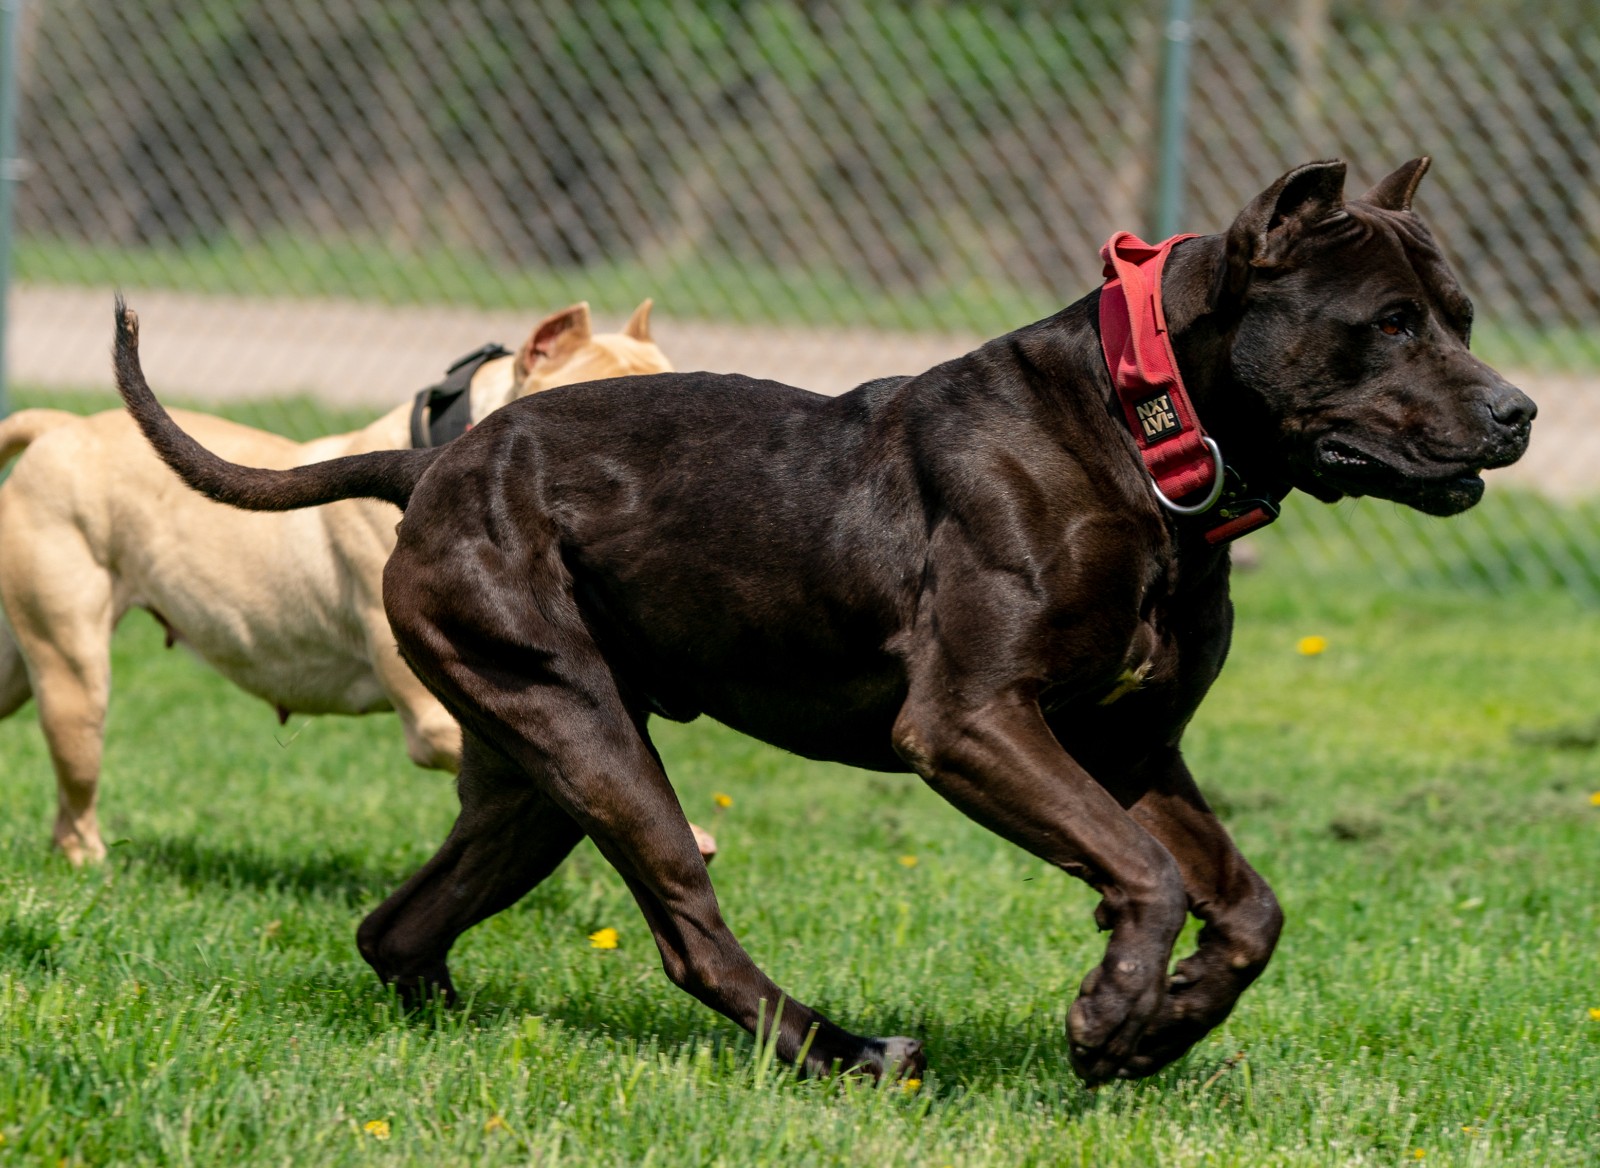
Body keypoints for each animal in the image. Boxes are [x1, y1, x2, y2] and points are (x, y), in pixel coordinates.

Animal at [0, 297, 713, 864]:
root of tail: (59, 426)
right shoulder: (434, 719)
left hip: (25, 667)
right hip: (75, 677)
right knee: (77, 796)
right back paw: (91, 862)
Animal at [116, 159, 1536, 1075]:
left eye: (1459, 318)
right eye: (1388, 323)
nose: (1519, 410)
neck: (1145, 435)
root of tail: (430, 469)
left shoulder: (1129, 746)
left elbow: (1243, 904)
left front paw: (1165, 1022)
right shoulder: (973, 724)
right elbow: (1145, 873)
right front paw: (1109, 1017)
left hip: (530, 773)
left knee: (400, 921)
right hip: (590, 739)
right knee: (689, 930)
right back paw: (840, 1049)